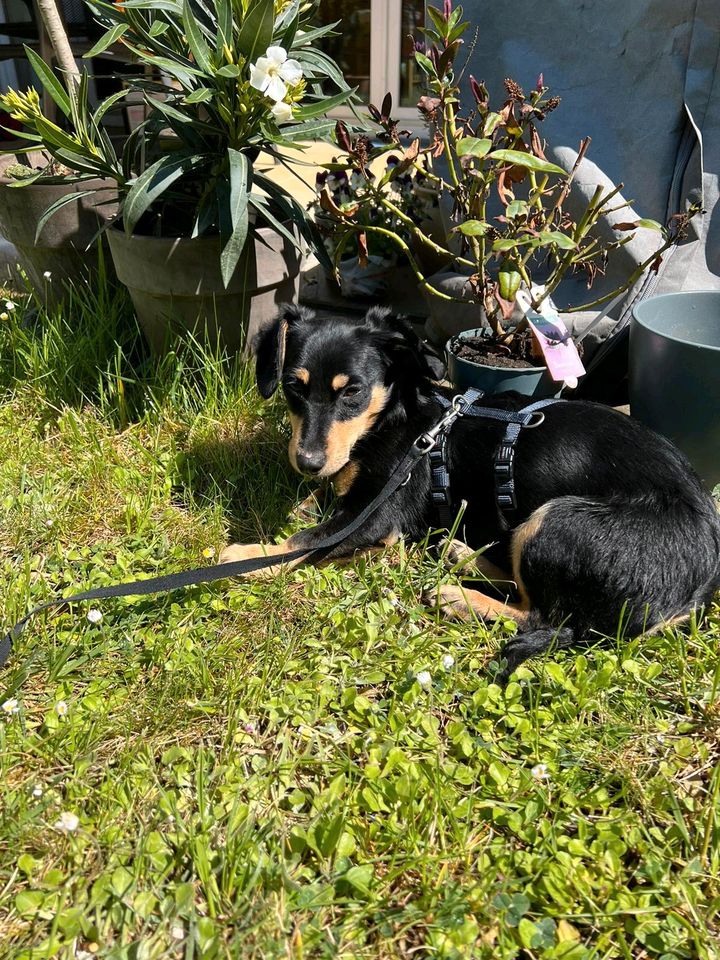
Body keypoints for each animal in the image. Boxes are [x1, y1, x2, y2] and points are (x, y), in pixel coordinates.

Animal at [221, 306, 720, 676]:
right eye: (293, 387)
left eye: (353, 392)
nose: (306, 463)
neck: (400, 416)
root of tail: (698, 592)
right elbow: (319, 507)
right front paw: (309, 502)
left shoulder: (376, 514)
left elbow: (303, 542)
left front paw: (247, 554)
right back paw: (460, 555)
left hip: (557, 521)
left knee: (548, 620)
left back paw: (459, 598)